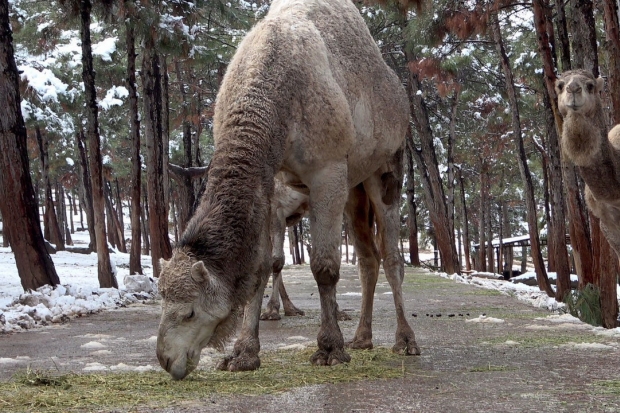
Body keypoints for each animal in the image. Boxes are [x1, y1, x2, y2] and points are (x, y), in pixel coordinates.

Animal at [155, 0, 418, 378]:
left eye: (190, 311)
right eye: (161, 302)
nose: (166, 358)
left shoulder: (327, 170)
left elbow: (324, 266)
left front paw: (330, 348)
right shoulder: (271, 185)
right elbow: (262, 266)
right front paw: (244, 353)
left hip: (387, 166)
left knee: (393, 254)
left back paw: (405, 340)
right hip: (353, 188)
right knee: (368, 258)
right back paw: (362, 338)